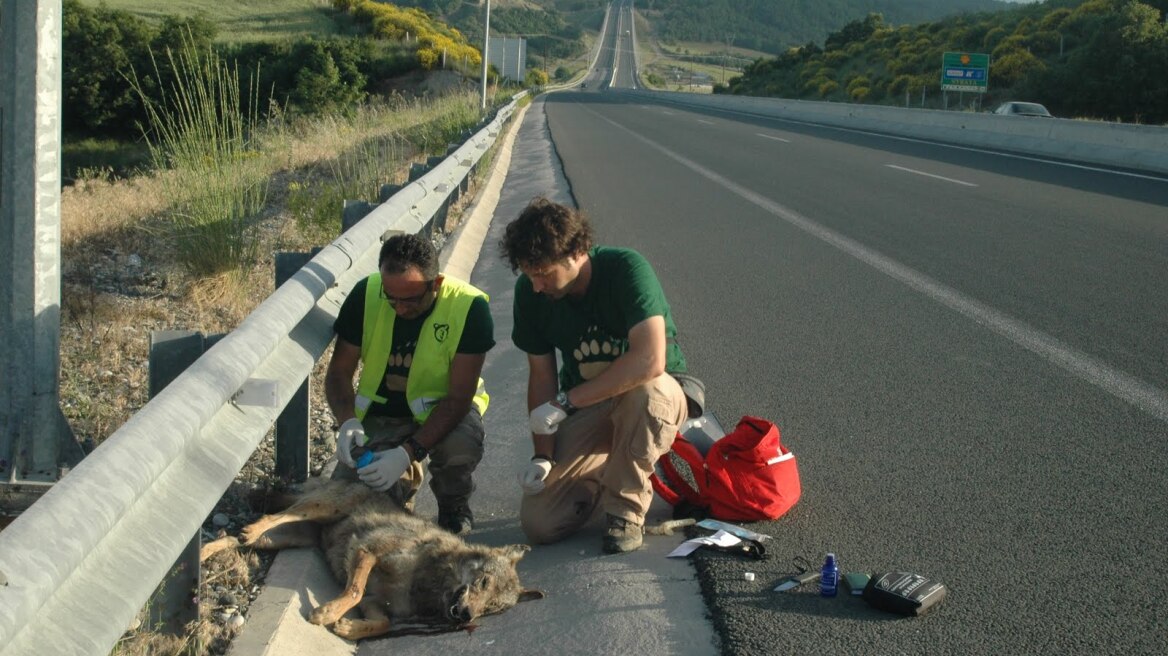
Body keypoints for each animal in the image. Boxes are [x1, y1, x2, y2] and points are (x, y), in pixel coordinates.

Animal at [200, 473, 541, 639]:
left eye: (493, 609)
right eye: (483, 583)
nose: (468, 616)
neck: (429, 580)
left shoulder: (375, 603)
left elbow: (384, 624)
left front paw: (349, 629)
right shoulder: (367, 550)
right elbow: (353, 590)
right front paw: (327, 613)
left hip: (285, 540)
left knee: (233, 538)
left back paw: (206, 553)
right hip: (318, 510)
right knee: (275, 515)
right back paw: (248, 530)